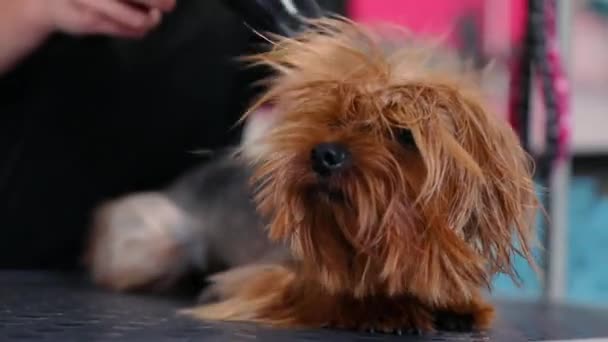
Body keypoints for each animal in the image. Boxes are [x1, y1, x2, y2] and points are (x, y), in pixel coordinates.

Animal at [84, 18, 536, 334]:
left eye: (402, 133)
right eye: (335, 116)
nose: (325, 154)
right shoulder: (266, 277)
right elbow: (319, 291)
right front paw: (384, 308)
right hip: (158, 235)